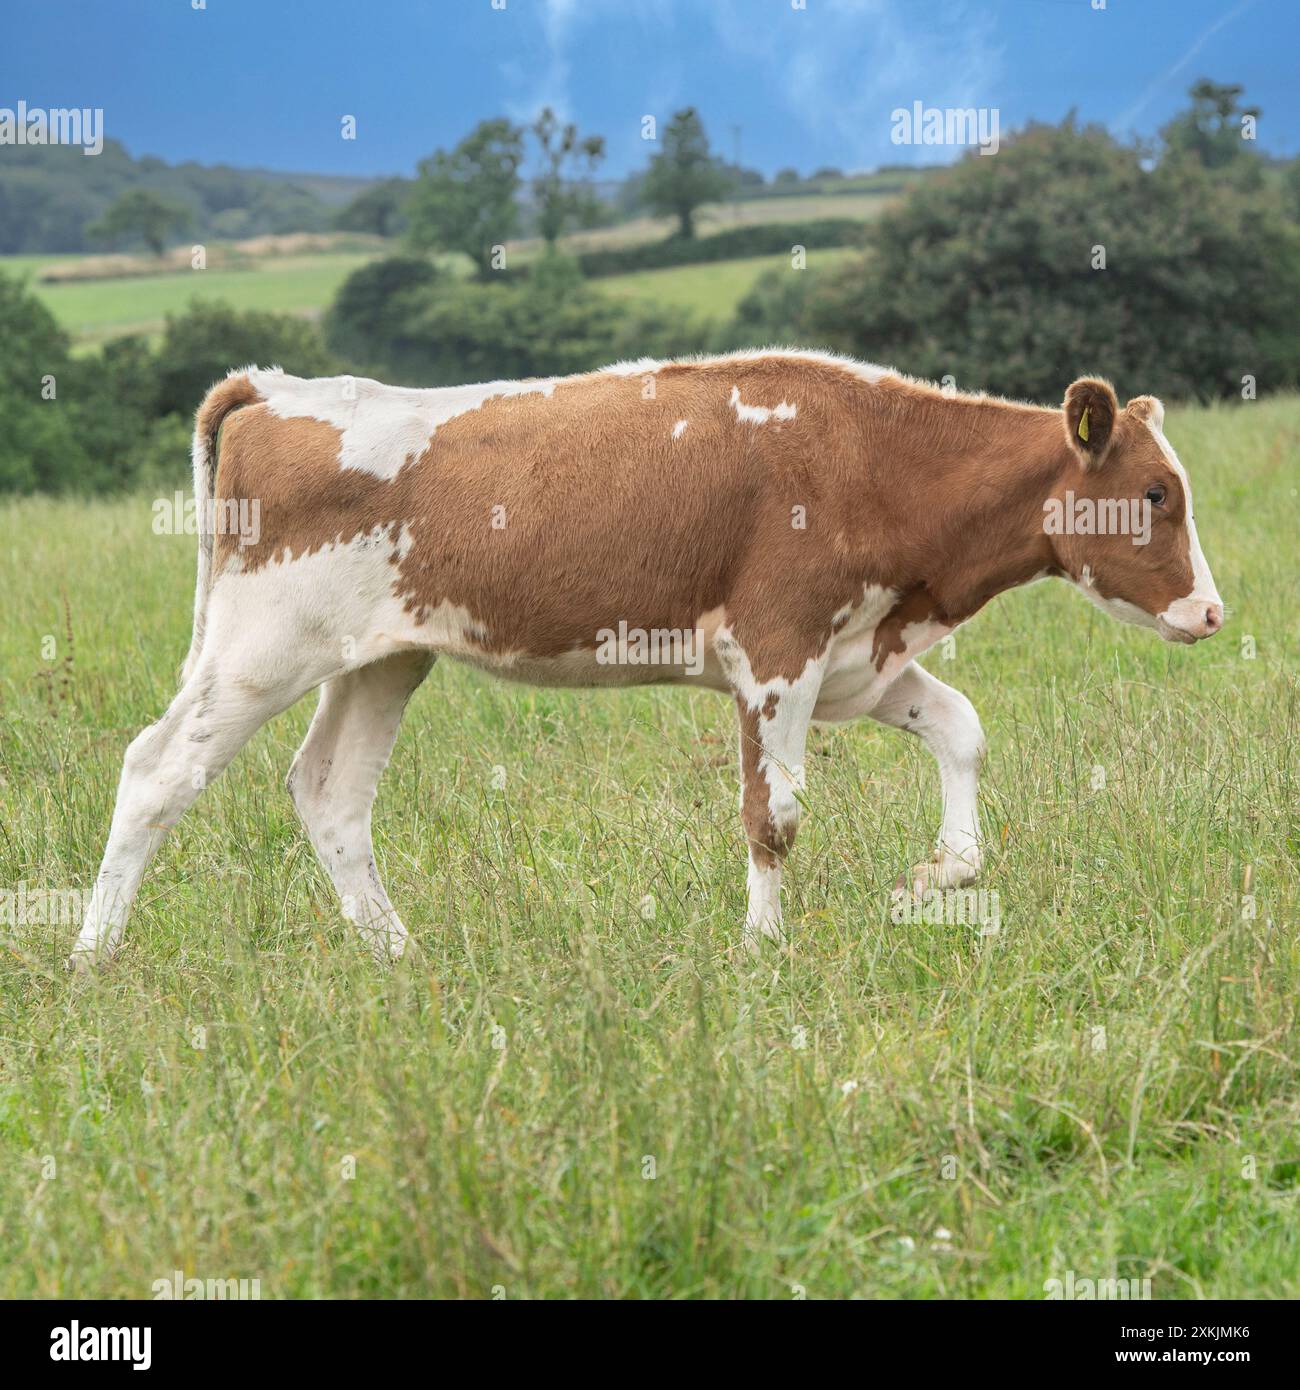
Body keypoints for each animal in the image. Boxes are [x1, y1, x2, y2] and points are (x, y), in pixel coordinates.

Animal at [71, 350, 1223, 967]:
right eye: (1154, 493)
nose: (1211, 611)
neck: (873, 459)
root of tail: (275, 388)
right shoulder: (777, 651)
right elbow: (775, 814)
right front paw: (763, 953)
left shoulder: (859, 658)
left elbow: (962, 730)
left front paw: (939, 871)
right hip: (260, 647)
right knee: (156, 771)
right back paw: (92, 957)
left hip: (381, 657)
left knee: (329, 792)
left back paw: (401, 956)